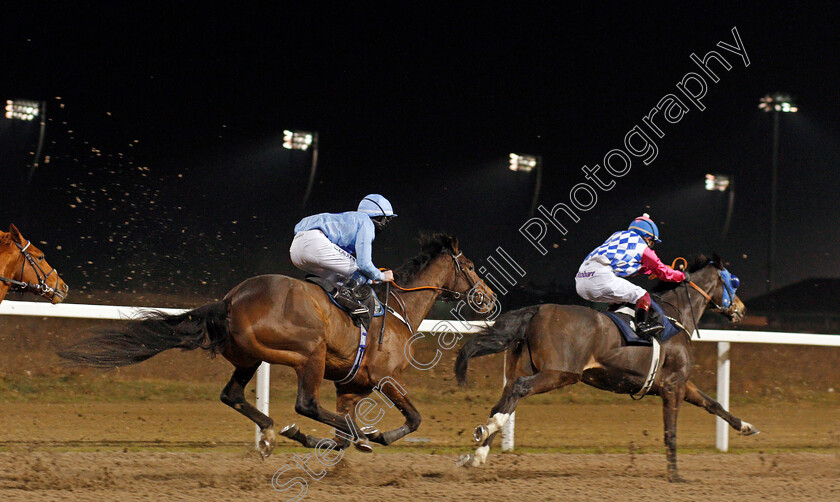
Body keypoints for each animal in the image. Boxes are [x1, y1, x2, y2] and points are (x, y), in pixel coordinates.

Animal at [60, 234, 492, 454]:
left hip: (249, 357)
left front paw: (344, 438)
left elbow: (342, 435)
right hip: (310, 352)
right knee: (305, 404)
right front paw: (377, 436)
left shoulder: (351, 387)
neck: (399, 307)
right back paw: (307, 431)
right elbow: (412, 418)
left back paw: (273, 433)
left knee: (232, 395)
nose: (488, 298)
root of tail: (230, 300)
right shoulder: (384, 379)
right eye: (470, 266)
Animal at [456, 255, 756, 482]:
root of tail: (537, 311)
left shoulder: (679, 383)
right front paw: (675, 476)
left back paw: (479, 450)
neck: (676, 315)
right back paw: (487, 435)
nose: (741, 309)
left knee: (504, 400)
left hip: (527, 370)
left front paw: (746, 426)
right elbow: (671, 432)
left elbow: (713, 404)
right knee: (516, 392)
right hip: (561, 373)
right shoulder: (673, 386)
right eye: (733, 282)